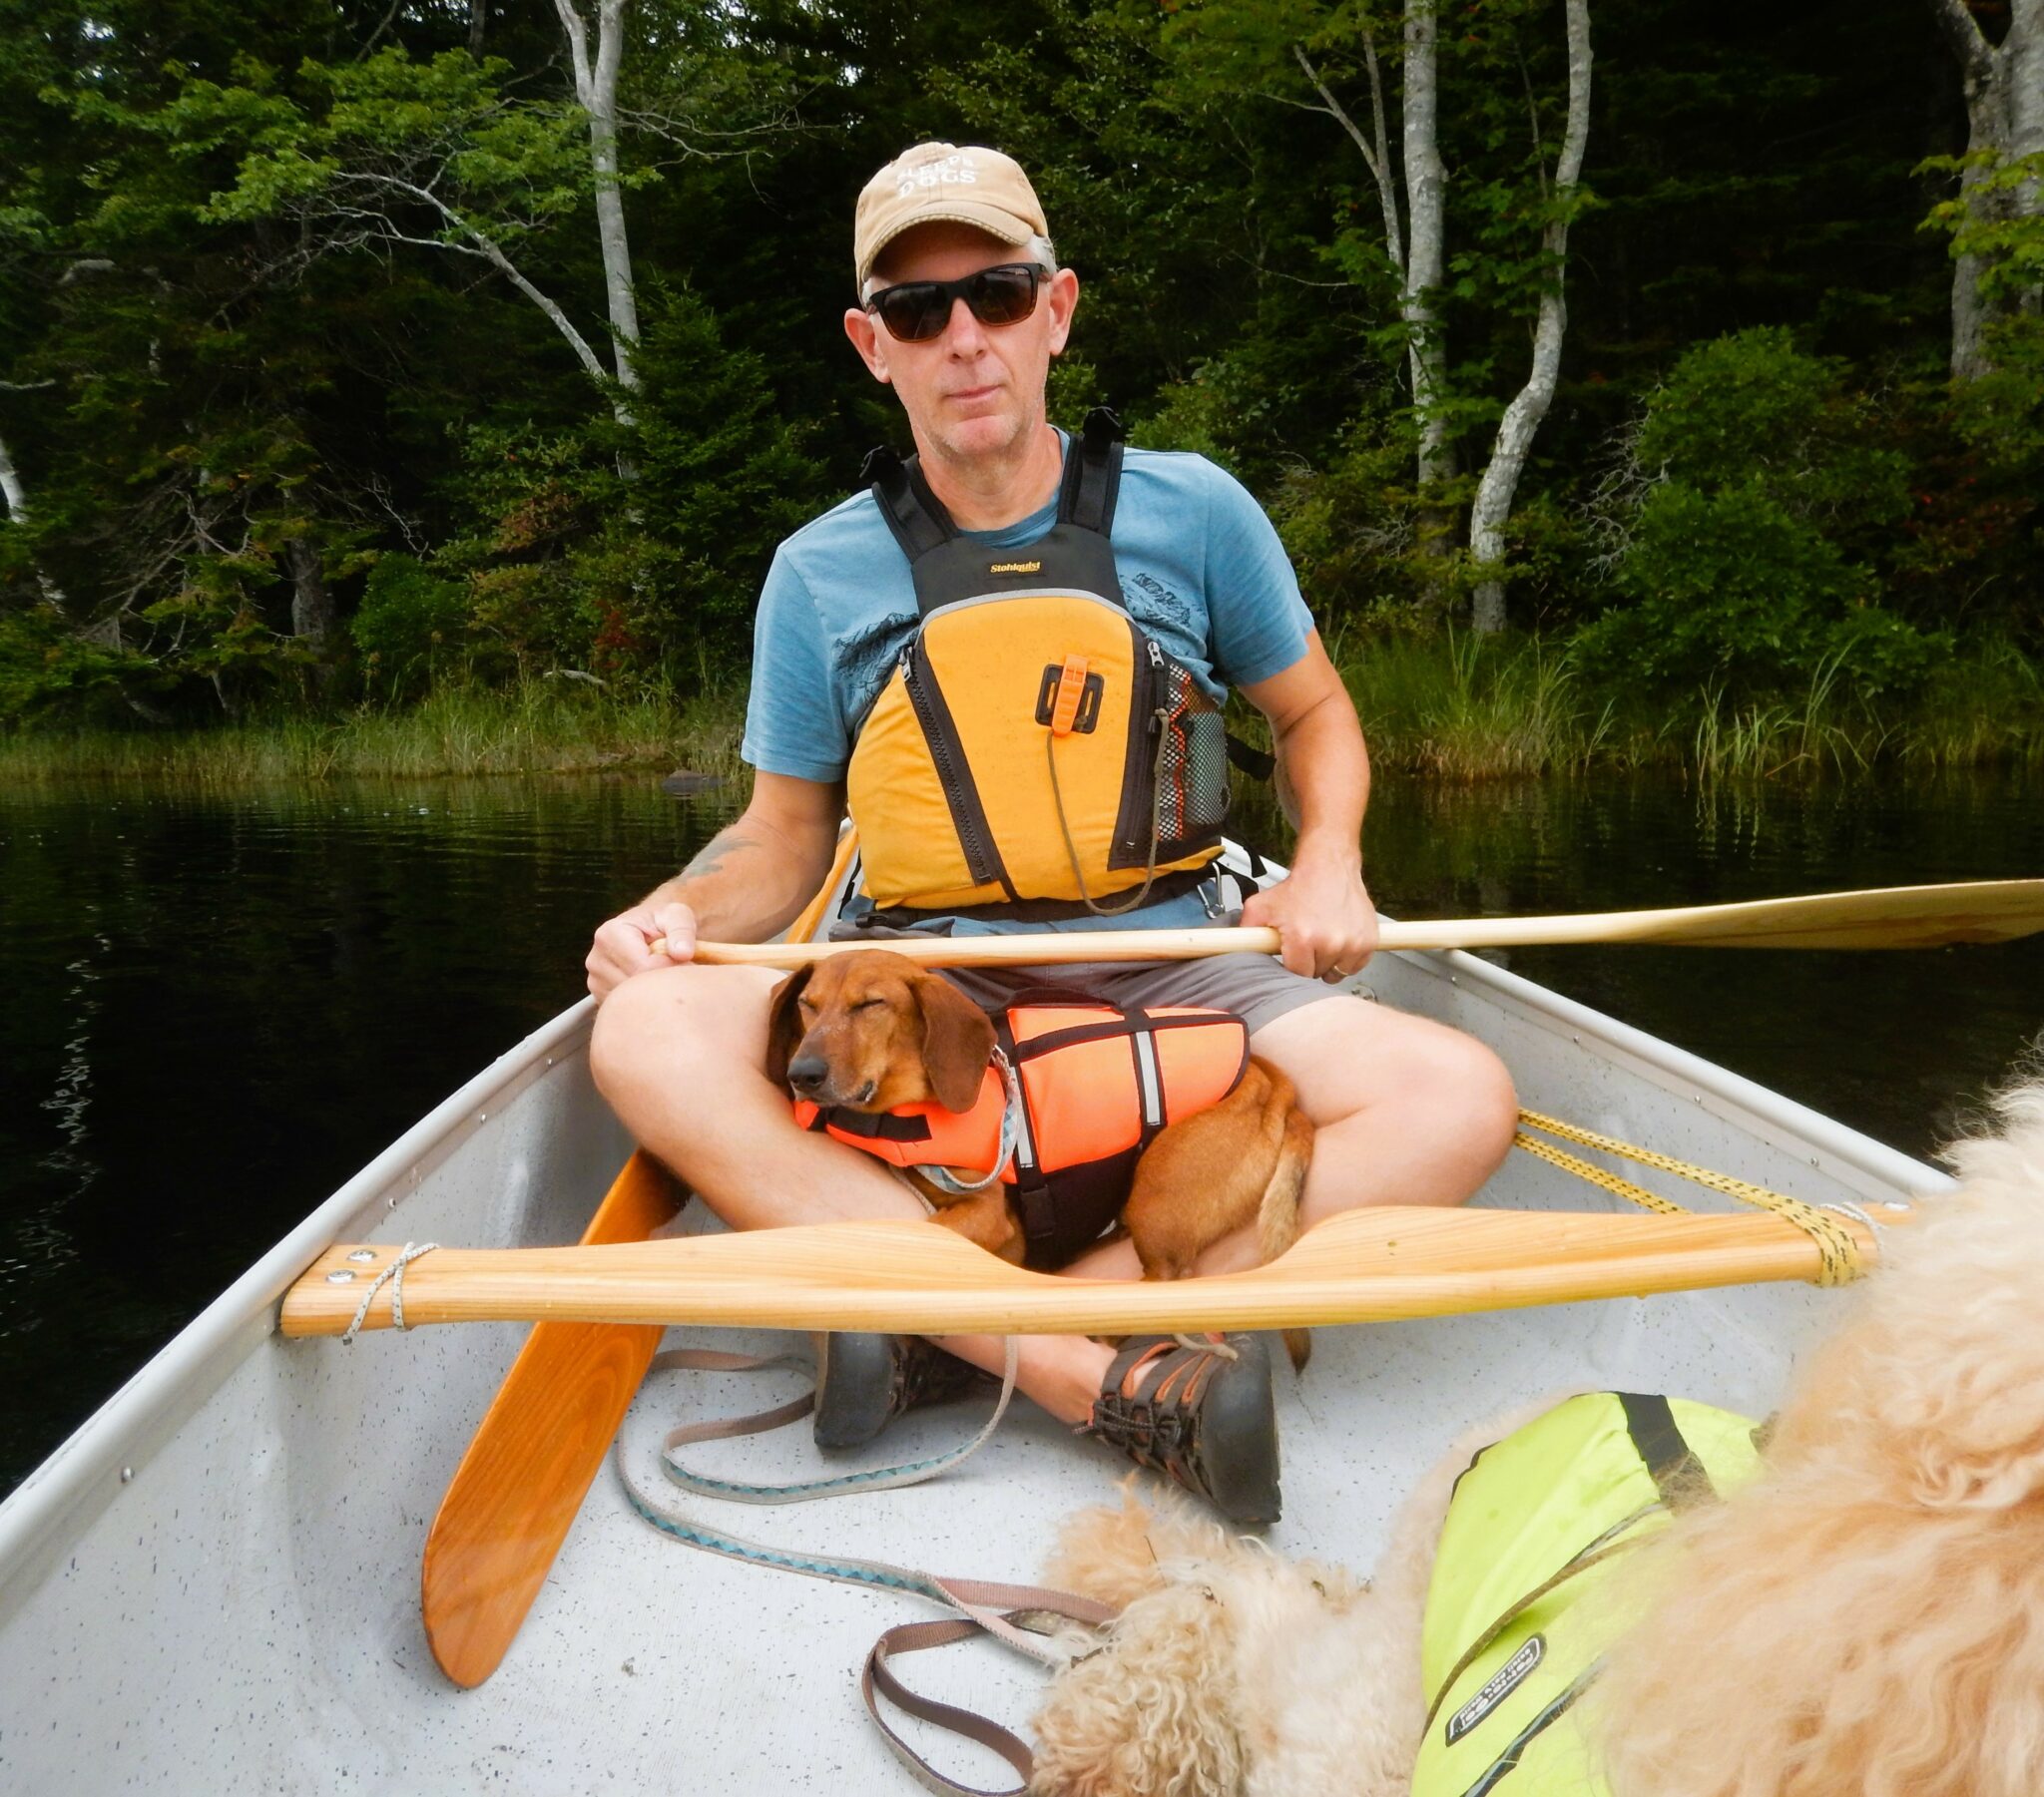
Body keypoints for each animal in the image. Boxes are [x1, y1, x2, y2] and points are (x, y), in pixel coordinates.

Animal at [764, 956, 1307, 1365]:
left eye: (871, 1004)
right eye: (808, 1005)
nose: (802, 1074)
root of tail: (1268, 1078)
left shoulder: (988, 1213)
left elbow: (928, 1234)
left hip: (1155, 1198)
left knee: (1167, 1286)